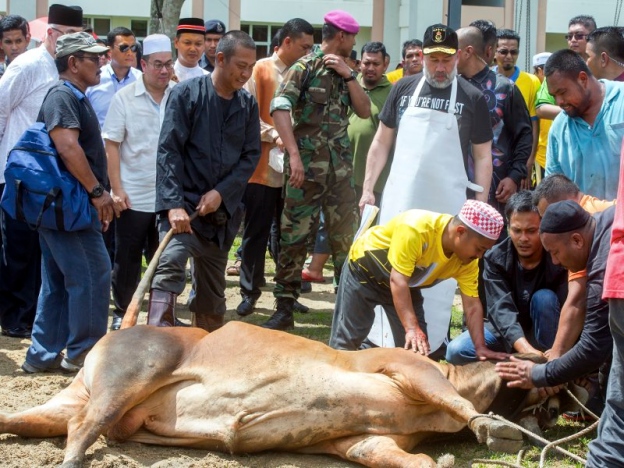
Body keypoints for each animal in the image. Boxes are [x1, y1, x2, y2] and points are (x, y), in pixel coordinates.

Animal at [0, 322, 580, 468]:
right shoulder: (401, 365)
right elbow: (457, 403)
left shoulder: (362, 440)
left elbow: (404, 459)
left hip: (71, 399)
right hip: (130, 373)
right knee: (83, 430)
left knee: (31, 420)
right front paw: (493, 427)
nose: (558, 412)